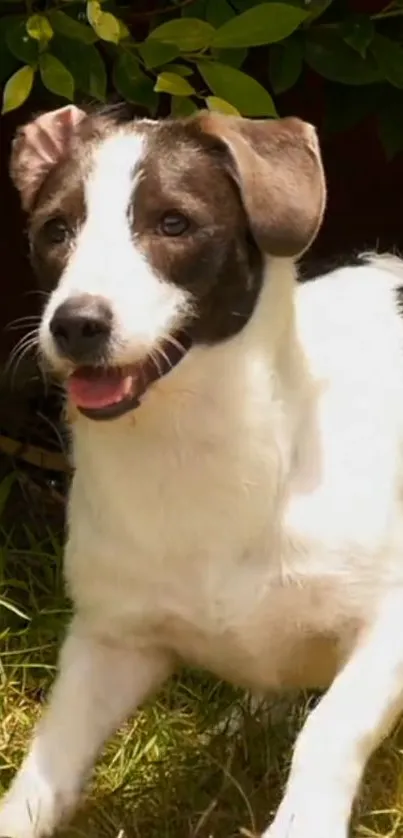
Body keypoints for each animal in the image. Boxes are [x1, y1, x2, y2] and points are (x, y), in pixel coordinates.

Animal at [2, 106, 403, 838]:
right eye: (56, 230)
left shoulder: (390, 622)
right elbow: (47, 767)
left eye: (173, 224)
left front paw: (303, 820)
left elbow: (330, 728)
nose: (76, 323)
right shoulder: (111, 638)